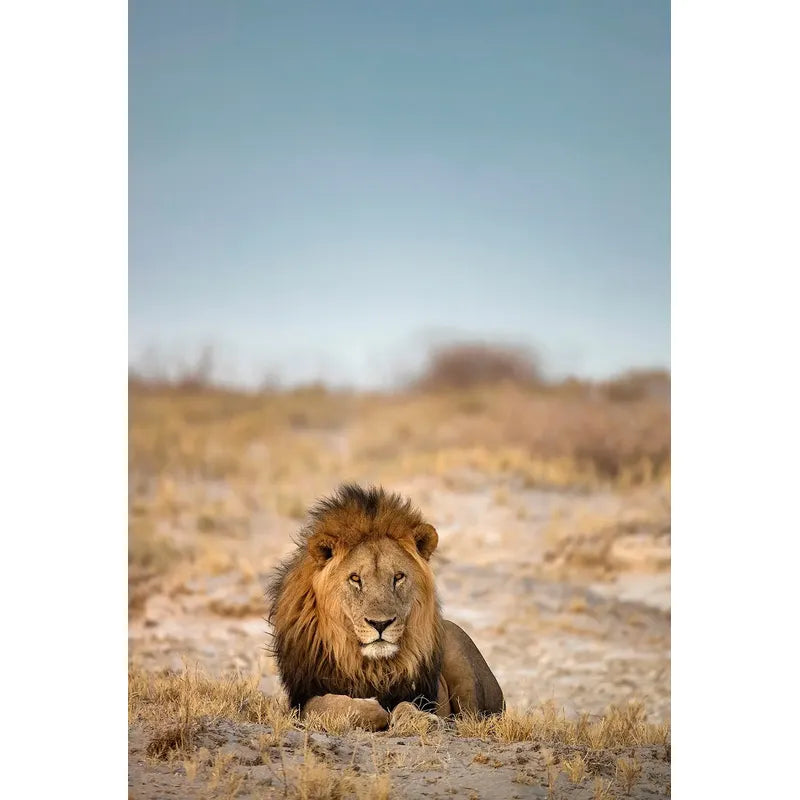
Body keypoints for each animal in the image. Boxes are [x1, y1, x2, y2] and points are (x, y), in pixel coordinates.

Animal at [266, 484, 504, 731]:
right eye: (355, 578)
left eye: (398, 577)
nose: (380, 624)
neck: (373, 667)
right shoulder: (302, 699)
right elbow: (337, 705)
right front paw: (373, 707)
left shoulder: (419, 695)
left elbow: (406, 706)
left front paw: (422, 720)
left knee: (471, 716)